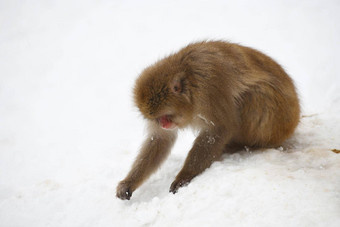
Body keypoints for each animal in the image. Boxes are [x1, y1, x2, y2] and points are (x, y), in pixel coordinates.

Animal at [117, 41, 300, 200]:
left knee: (255, 96)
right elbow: (161, 139)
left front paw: (184, 176)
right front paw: (129, 183)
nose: (163, 124)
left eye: (166, 116)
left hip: (277, 122)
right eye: (156, 119)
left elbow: (219, 129)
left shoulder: (210, 87)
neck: (190, 79)